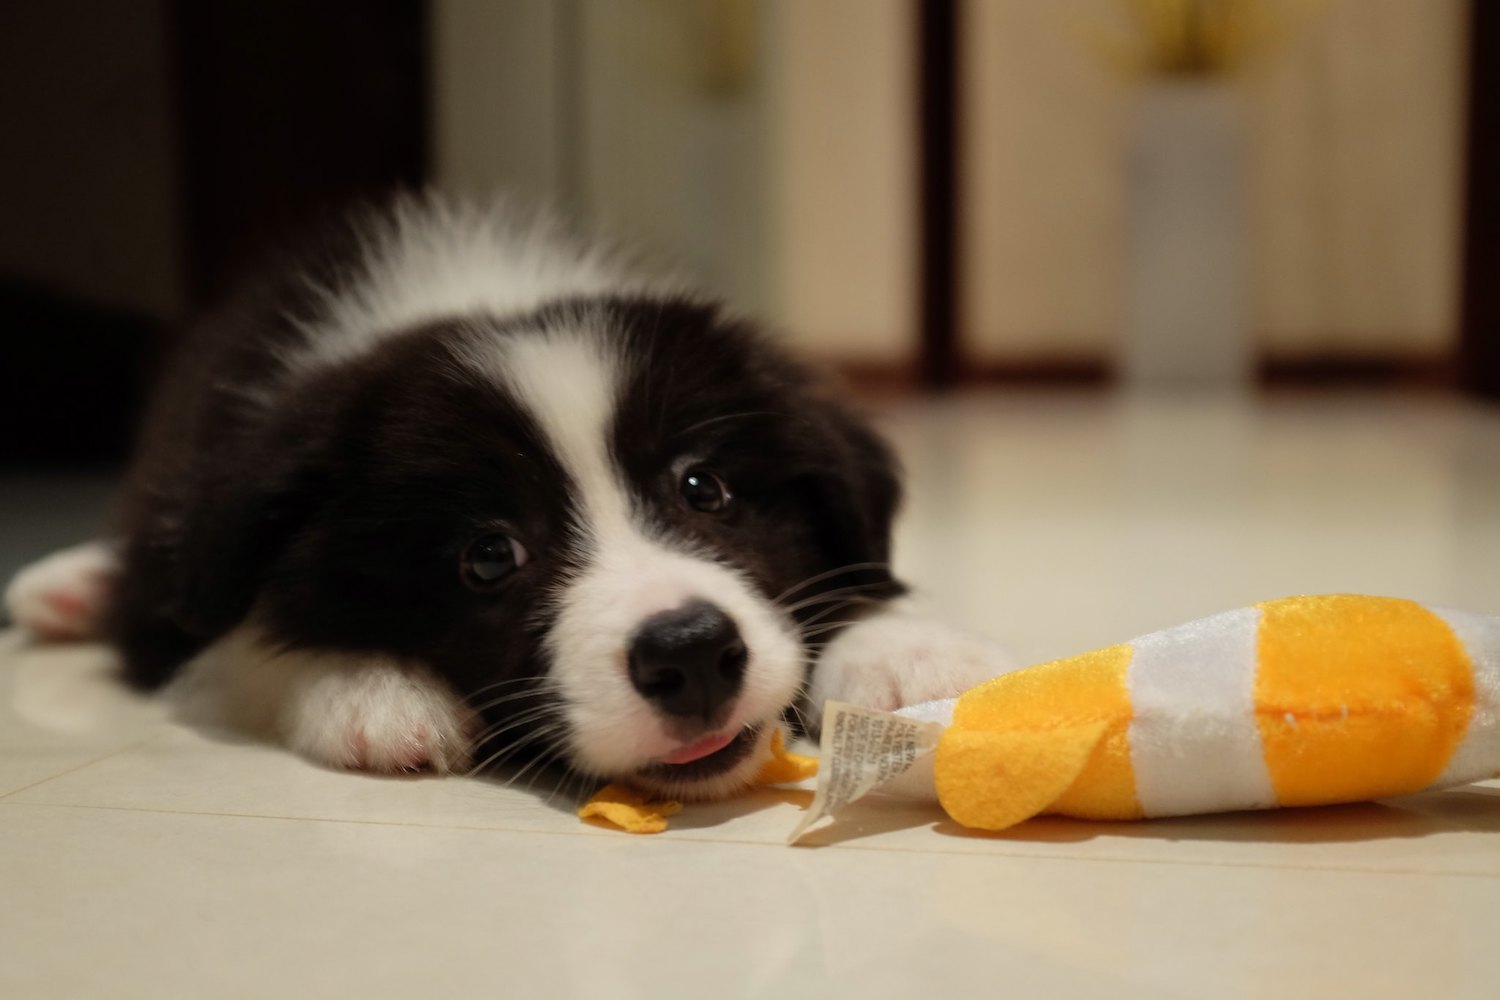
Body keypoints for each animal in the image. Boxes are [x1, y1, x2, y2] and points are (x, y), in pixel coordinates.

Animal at [8, 199, 1008, 803]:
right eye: (489, 555)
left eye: (704, 487)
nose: (689, 653)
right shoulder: (207, 565)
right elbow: (239, 638)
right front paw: (369, 689)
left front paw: (904, 651)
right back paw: (64, 587)